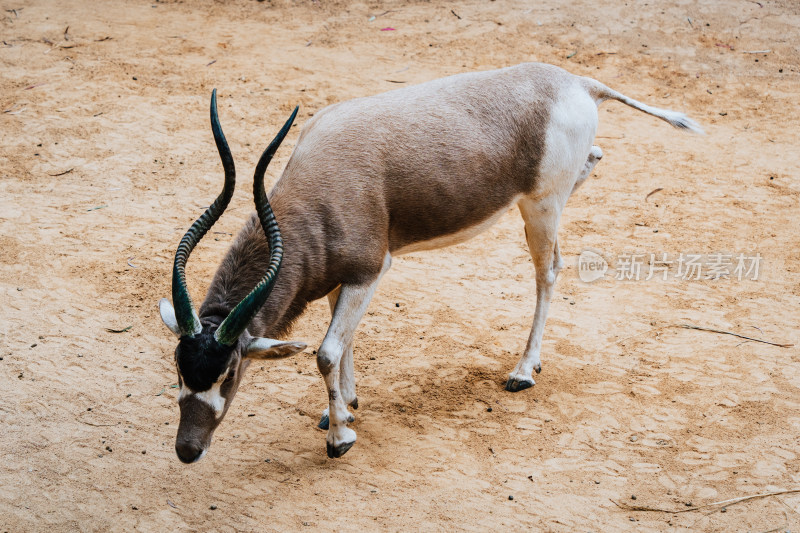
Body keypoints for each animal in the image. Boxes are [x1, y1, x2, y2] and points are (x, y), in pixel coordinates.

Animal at [161, 63, 700, 462]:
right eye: (179, 368)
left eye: (229, 373)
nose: (187, 450)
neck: (321, 180)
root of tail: (577, 83)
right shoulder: (343, 277)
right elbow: (345, 340)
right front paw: (345, 408)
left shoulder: (369, 271)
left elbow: (327, 352)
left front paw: (340, 438)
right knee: (594, 163)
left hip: (539, 207)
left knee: (547, 273)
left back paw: (524, 370)